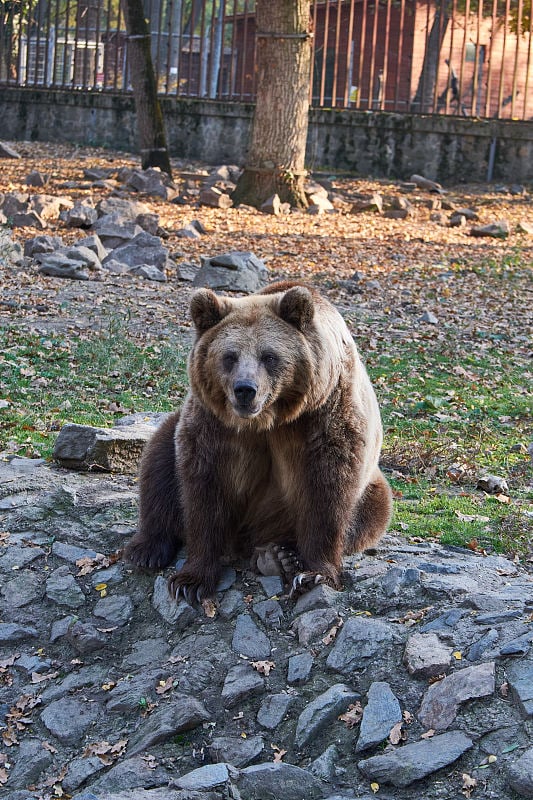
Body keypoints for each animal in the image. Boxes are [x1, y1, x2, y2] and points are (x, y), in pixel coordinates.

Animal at [123, 282, 390, 600]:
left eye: (269, 356)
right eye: (230, 356)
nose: (244, 390)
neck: (270, 420)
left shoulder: (324, 416)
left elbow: (327, 492)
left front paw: (314, 573)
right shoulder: (215, 426)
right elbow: (204, 488)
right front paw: (191, 581)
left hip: (370, 489)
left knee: (370, 514)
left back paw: (280, 555)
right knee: (159, 460)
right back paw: (147, 549)